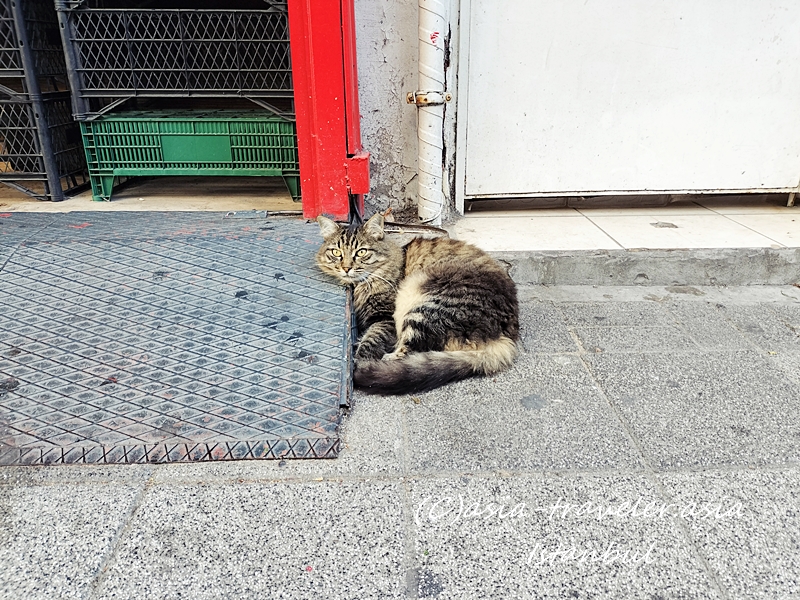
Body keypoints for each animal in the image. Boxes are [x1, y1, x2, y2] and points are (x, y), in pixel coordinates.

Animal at [316, 213, 520, 396]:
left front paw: (358, 355)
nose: (346, 268)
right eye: (336, 252)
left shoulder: (385, 317)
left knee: (406, 352)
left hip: (420, 305)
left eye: (361, 252)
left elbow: (371, 340)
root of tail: (505, 335)